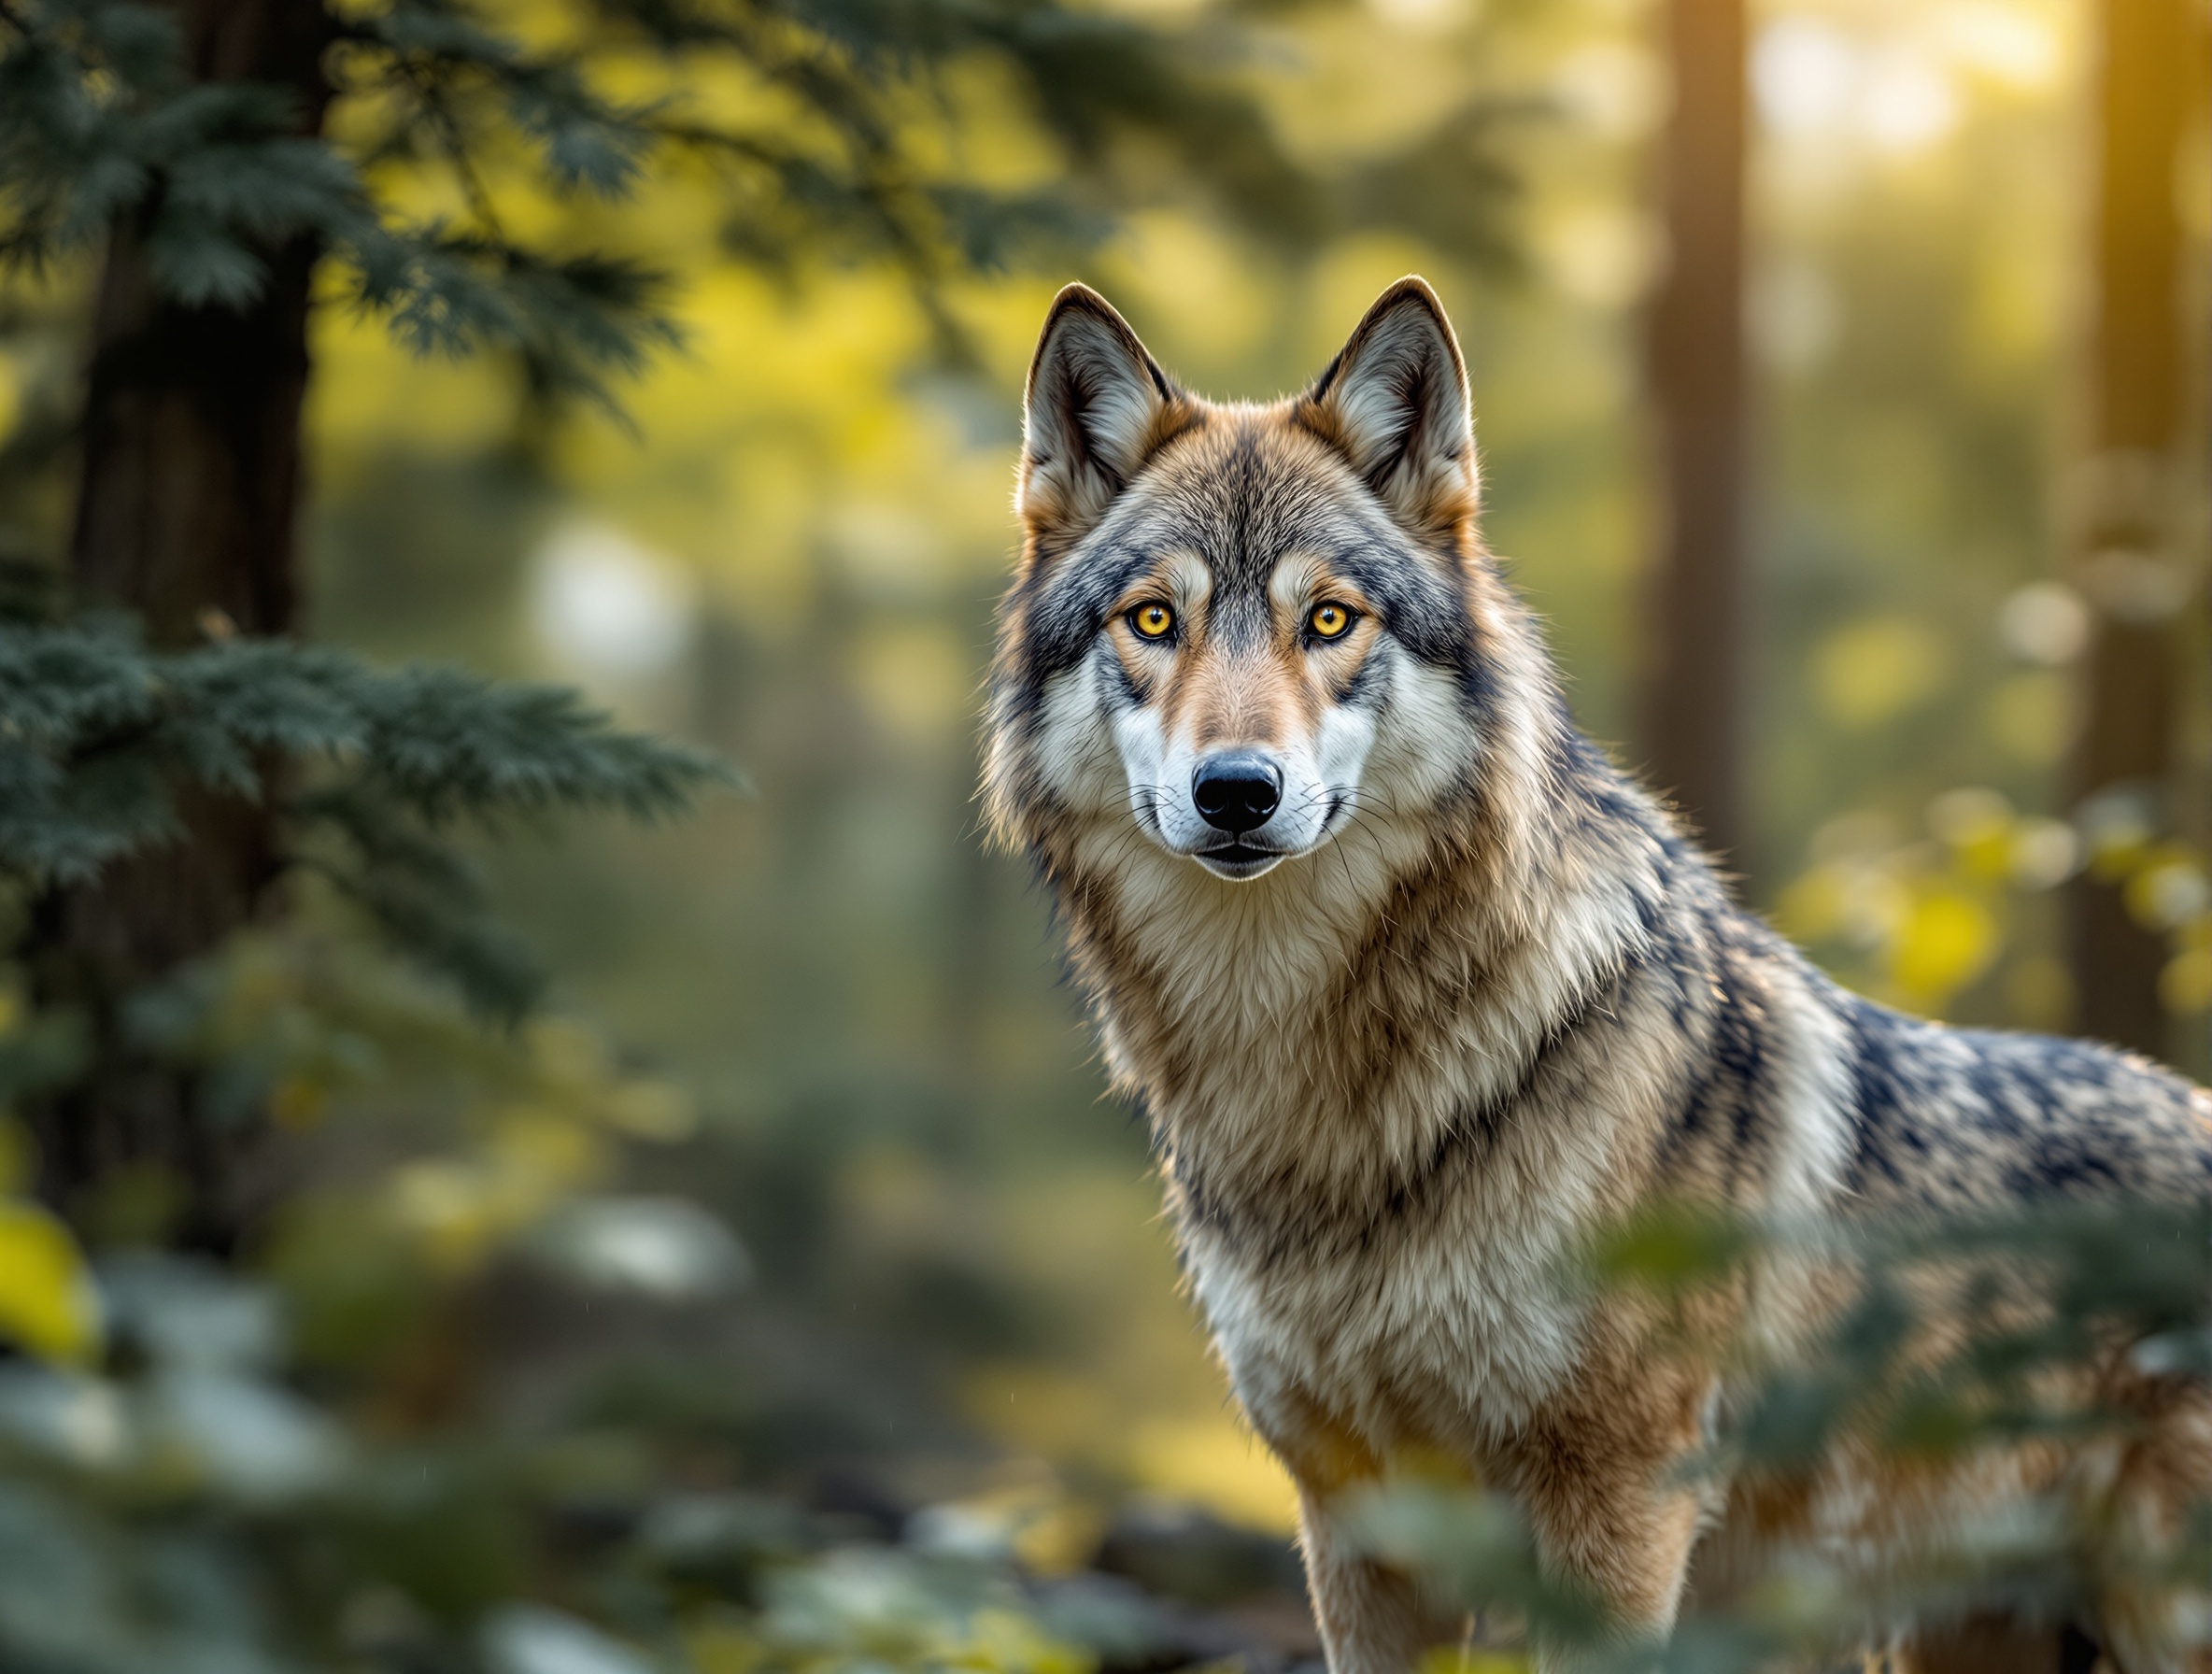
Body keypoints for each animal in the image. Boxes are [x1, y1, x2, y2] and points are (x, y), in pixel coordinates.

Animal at [982, 277, 2212, 1671]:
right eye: (1154, 620)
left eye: (1329, 619)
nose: (1236, 791)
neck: (1324, 1101)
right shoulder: (1358, 1521)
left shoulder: (1614, 1510)